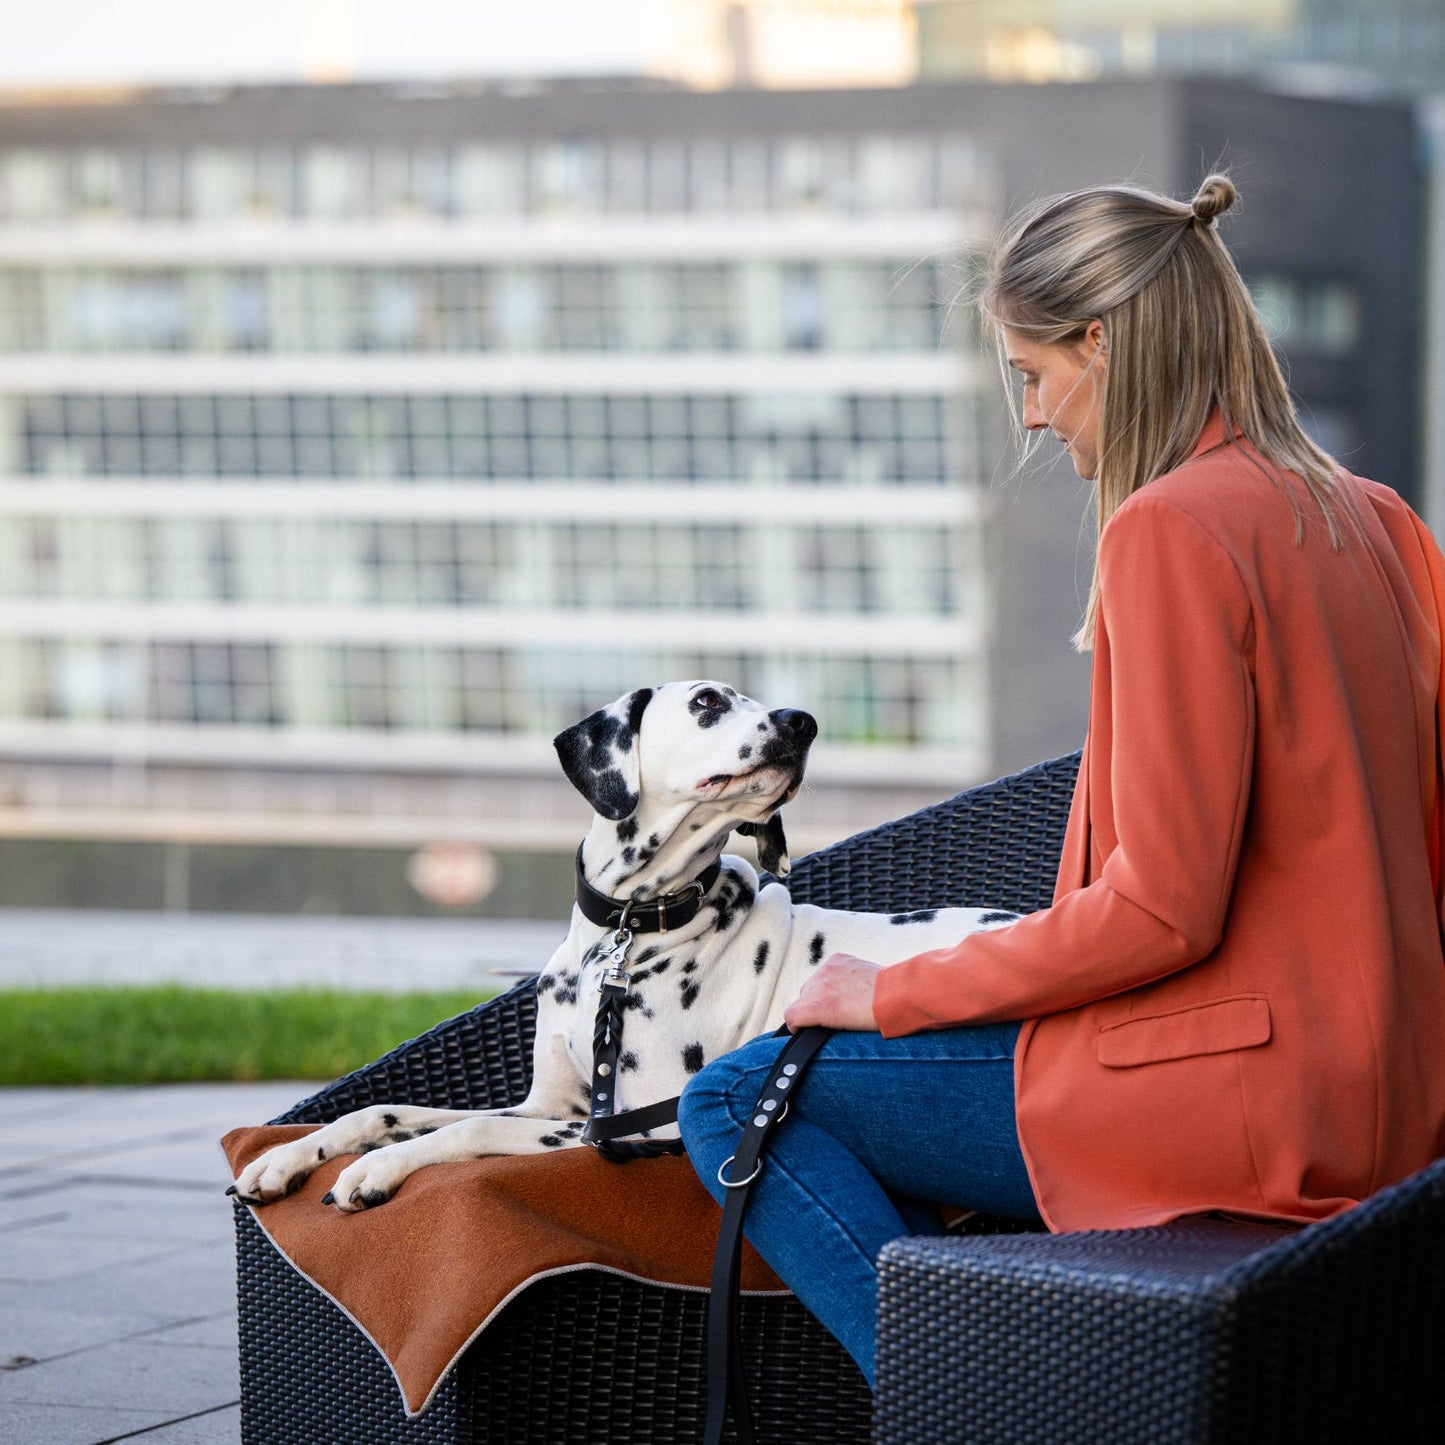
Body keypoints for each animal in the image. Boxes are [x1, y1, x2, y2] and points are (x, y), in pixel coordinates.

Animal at [228, 682, 1017, 1213]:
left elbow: (465, 1128)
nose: (803, 720)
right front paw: (293, 1155)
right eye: (707, 700)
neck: (626, 934)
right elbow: (383, 1111)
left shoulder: (631, 1124)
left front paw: (379, 1168)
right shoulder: (544, 1105)